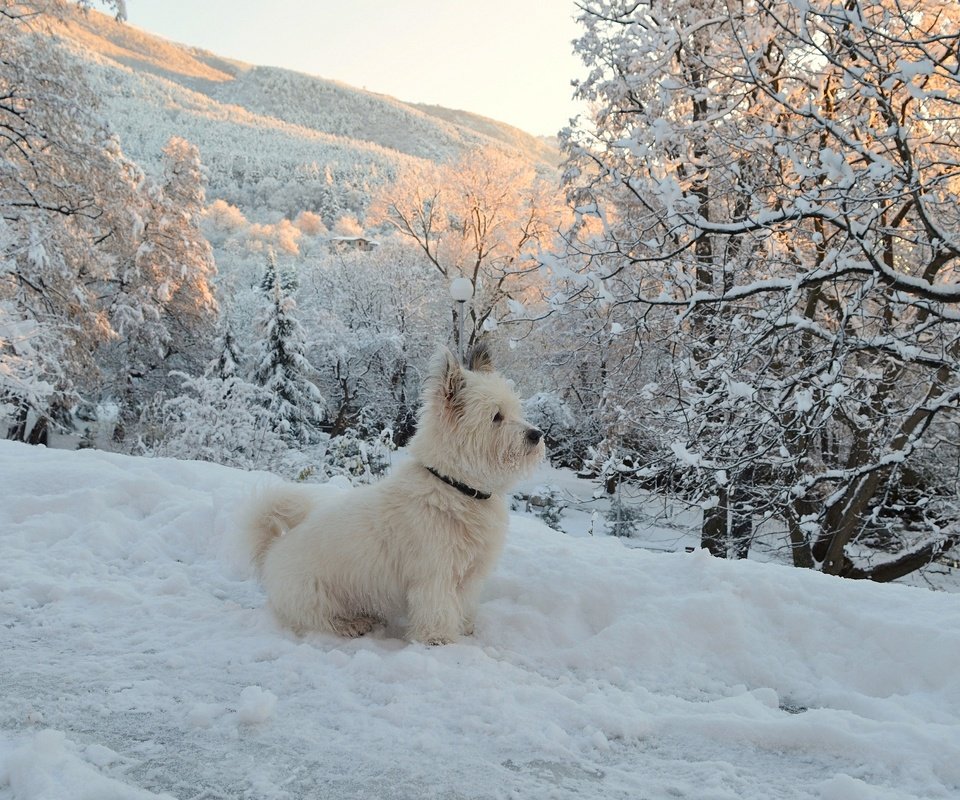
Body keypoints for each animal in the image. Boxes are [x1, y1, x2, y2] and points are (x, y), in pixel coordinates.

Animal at [244, 344, 544, 644]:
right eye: (496, 416)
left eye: (515, 410)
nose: (537, 434)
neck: (454, 486)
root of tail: (272, 550)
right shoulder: (434, 575)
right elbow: (437, 610)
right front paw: (439, 640)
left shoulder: (469, 575)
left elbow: (464, 604)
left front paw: (465, 627)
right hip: (315, 596)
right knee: (320, 620)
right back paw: (352, 624)